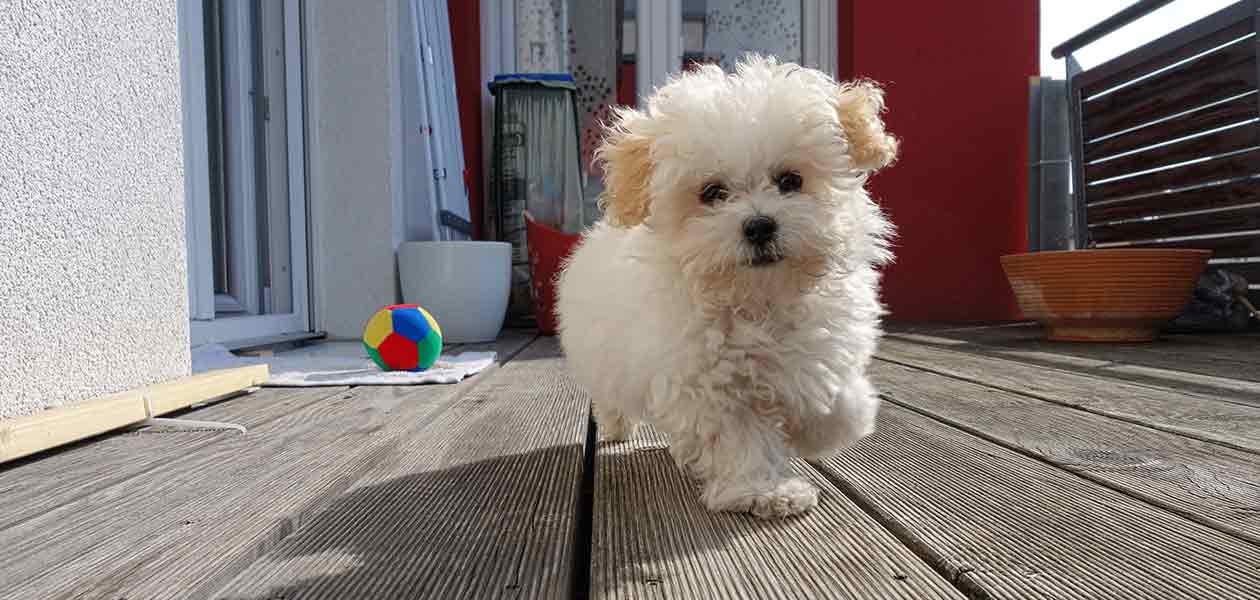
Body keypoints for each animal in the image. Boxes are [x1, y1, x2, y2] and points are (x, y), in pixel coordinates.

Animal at [559, 56, 897, 516]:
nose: (759, 225)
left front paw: (832, 424)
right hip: (604, 358)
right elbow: (741, 438)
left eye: (790, 180)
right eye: (712, 192)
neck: (759, 298)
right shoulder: (709, 382)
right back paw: (615, 428)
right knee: (611, 397)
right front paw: (765, 490)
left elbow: (833, 396)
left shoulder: (820, 344)